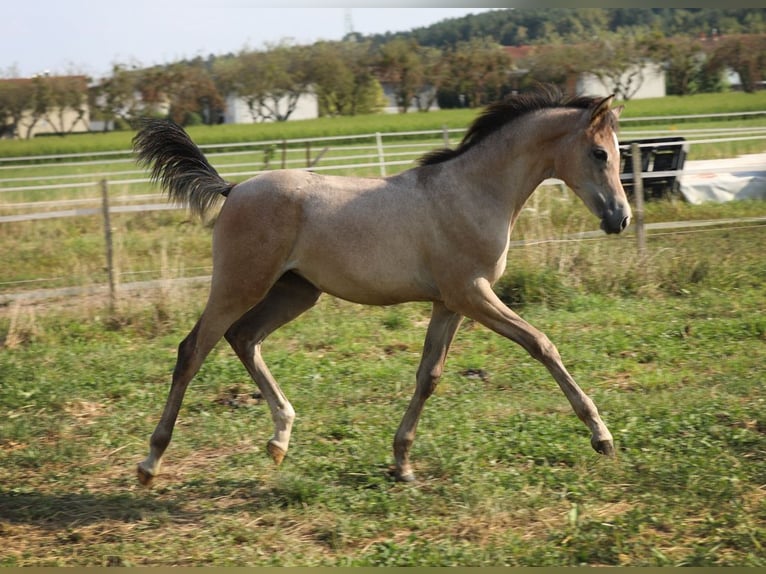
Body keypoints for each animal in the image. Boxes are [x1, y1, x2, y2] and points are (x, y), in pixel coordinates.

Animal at [132, 84, 632, 486]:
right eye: (600, 153)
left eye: (621, 154)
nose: (620, 219)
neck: (472, 191)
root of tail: (233, 188)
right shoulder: (473, 293)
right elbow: (542, 344)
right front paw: (602, 437)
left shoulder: (450, 303)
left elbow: (429, 375)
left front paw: (402, 463)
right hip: (239, 285)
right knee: (193, 350)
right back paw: (151, 463)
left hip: (295, 291)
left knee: (243, 337)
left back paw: (279, 439)